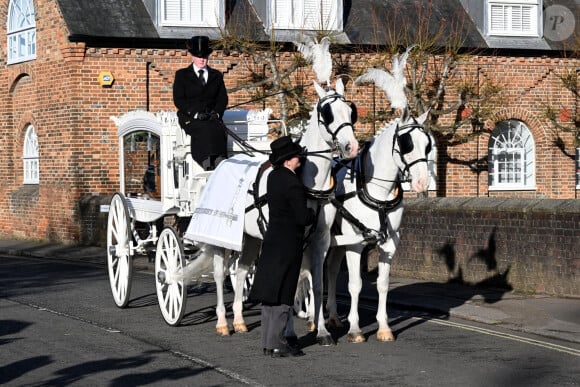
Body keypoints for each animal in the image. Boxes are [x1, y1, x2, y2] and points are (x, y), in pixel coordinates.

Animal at [184, 79, 360, 336]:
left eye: (350, 111)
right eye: (327, 114)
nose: (352, 147)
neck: (307, 182)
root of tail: (221, 163)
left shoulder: (319, 240)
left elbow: (316, 284)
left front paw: (321, 330)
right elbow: (291, 281)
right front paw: (288, 332)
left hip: (249, 238)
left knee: (241, 271)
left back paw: (239, 320)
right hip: (220, 240)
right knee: (218, 274)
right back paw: (222, 322)